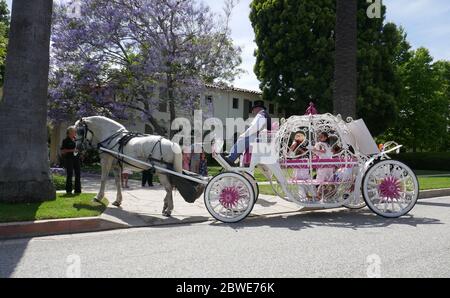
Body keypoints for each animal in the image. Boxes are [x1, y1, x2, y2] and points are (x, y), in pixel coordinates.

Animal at [74, 116, 204, 217]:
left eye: (80, 131)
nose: (77, 147)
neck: (112, 137)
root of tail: (172, 143)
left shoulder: (106, 161)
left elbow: (103, 179)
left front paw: (98, 197)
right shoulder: (116, 166)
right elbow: (118, 183)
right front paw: (118, 200)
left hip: (161, 172)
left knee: (168, 188)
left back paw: (169, 209)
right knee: (170, 187)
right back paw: (165, 205)